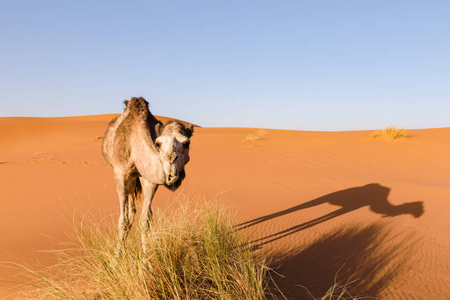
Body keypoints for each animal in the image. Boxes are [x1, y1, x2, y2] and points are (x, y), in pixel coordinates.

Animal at [102, 97, 193, 250]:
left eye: (186, 143)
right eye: (158, 143)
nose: (170, 158)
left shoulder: (149, 179)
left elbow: (145, 219)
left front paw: (146, 254)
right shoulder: (120, 173)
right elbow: (123, 220)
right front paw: (118, 253)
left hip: (135, 177)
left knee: (133, 211)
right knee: (129, 212)